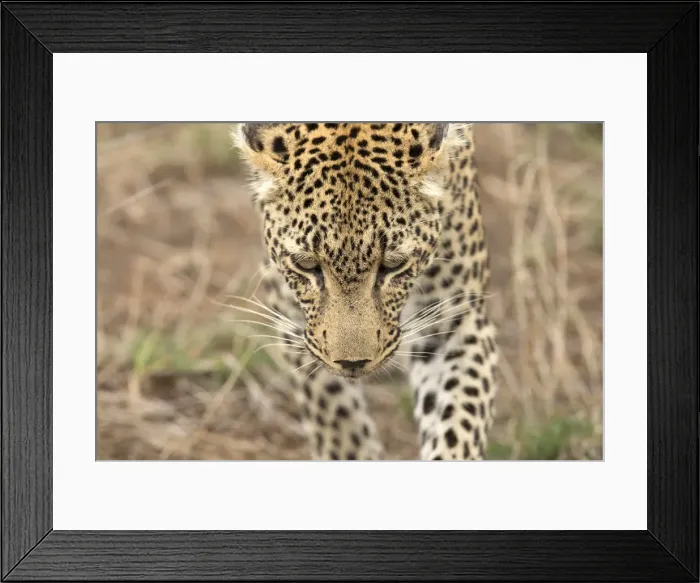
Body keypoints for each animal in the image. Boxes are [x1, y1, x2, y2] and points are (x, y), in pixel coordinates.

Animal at [232, 122, 498, 460]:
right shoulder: (291, 315)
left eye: (393, 265)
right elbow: (334, 414)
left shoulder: (455, 319)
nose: (352, 363)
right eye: (307, 265)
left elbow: (457, 425)